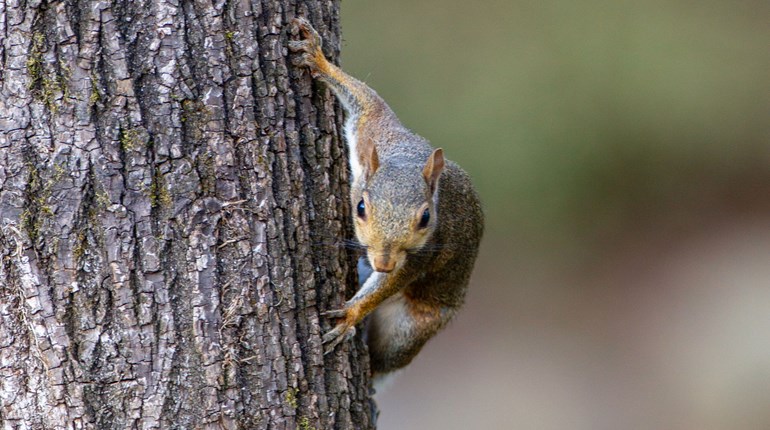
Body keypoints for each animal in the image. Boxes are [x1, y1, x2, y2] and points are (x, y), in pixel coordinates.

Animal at [289, 18, 484, 381]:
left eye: (425, 219)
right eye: (360, 208)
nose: (382, 263)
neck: (405, 160)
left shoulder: (424, 253)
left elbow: (392, 282)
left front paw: (351, 314)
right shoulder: (375, 129)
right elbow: (367, 102)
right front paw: (317, 58)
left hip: (410, 328)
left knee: (385, 362)